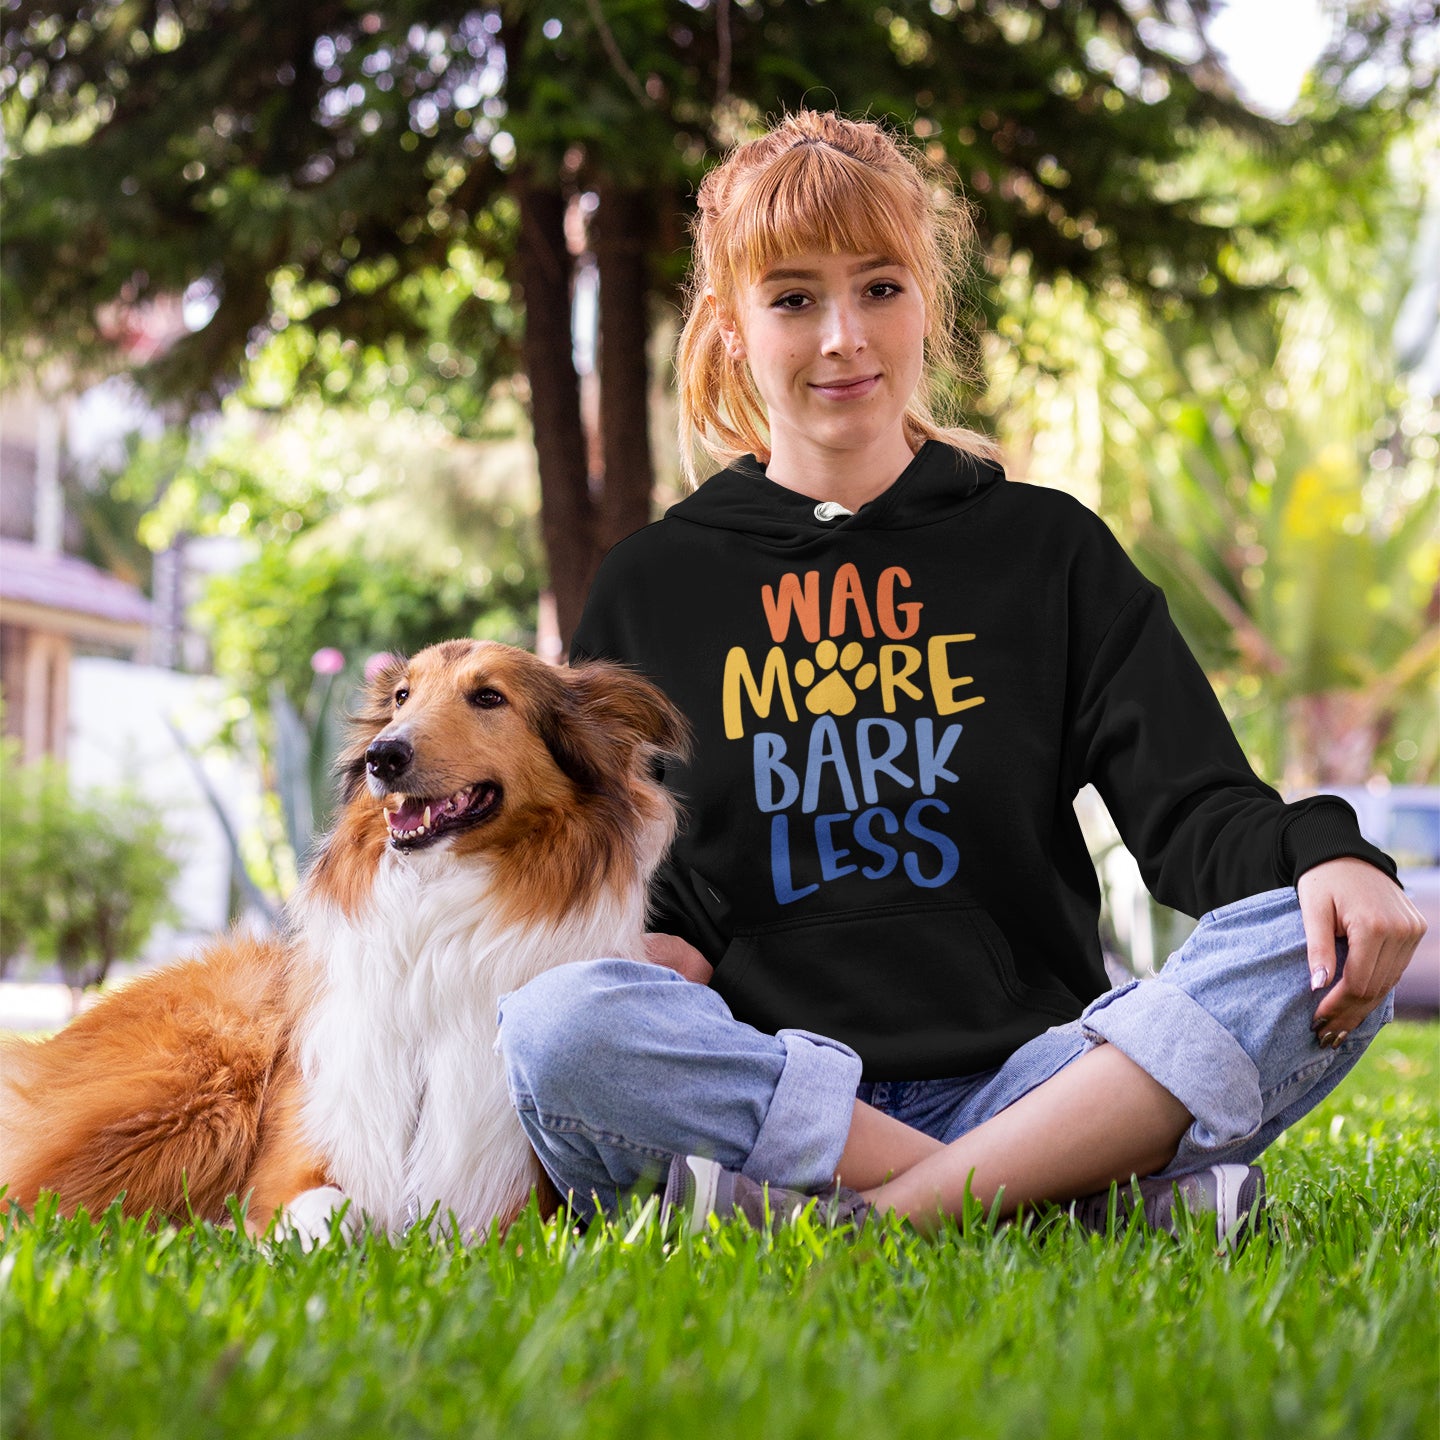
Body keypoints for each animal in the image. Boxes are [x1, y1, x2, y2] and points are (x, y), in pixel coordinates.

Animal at [1, 645, 685, 1249]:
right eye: (403, 695)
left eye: (489, 697)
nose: (383, 755)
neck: (432, 933)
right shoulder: (301, 1151)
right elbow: (333, 1206)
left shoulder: (514, 1207)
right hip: (205, 1078)